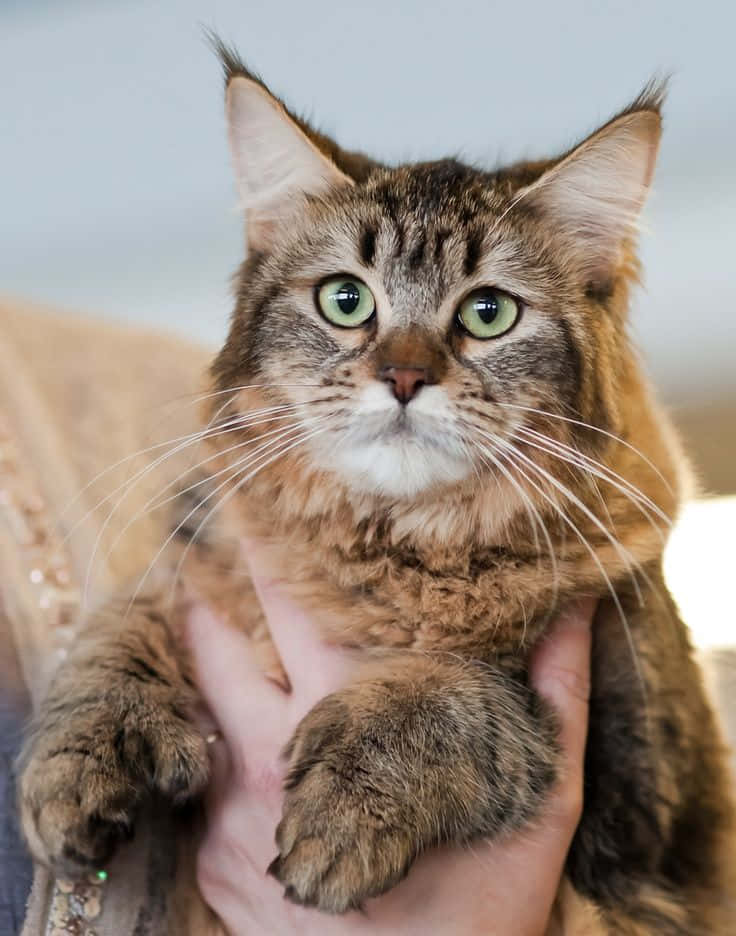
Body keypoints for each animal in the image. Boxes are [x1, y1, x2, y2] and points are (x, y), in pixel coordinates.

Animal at [17, 40, 736, 932]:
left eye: (489, 313)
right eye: (346, 300)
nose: (403, 377)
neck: (388, 554)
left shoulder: (635, 800)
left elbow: (452, 687)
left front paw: (346, 812)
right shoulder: (206, 557)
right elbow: (124, 621)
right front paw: (78, 755)